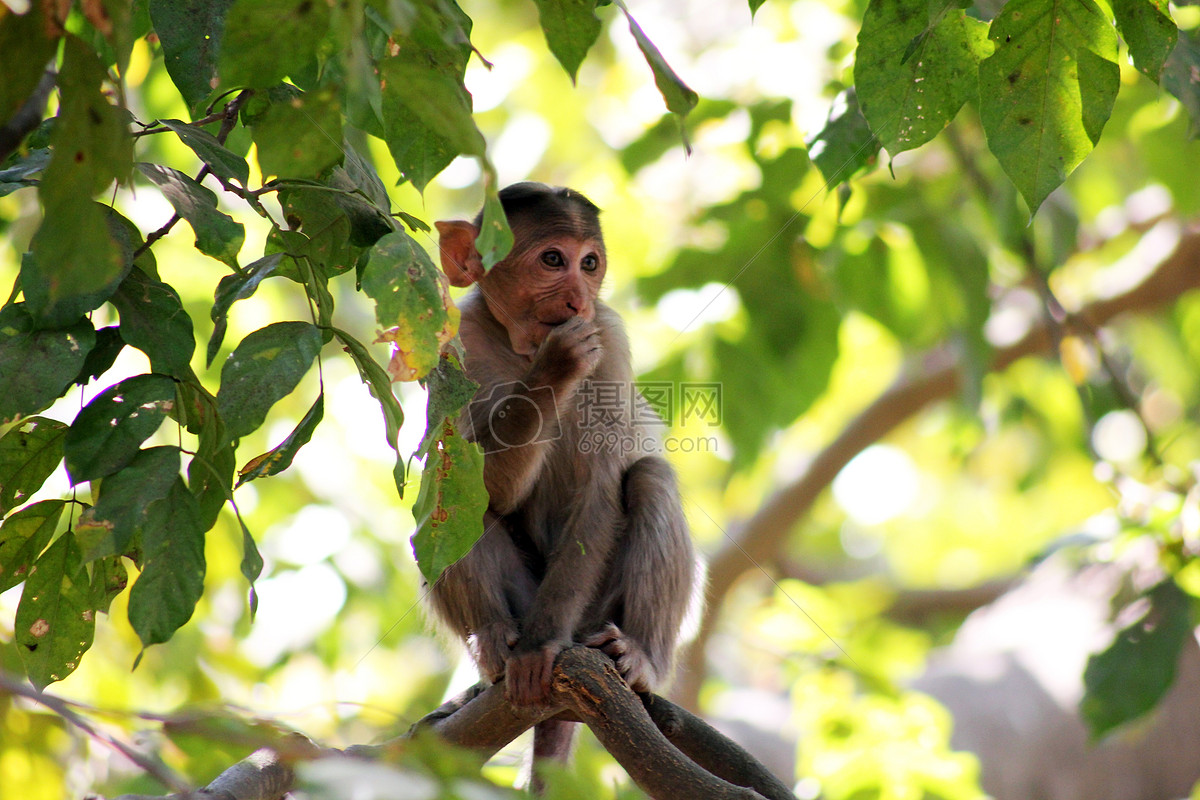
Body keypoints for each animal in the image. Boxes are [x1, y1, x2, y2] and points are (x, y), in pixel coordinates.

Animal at [429, 181, 696, 767]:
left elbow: (601, 488)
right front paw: (555, 370)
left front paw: (541, 649)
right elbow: (472, 484)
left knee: (649, 479)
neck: (517, 347)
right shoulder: (448, 344)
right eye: (553, 260)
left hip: (594, 613)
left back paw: (640, 657)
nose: (579, 299)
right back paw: (492, 640)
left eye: (589, 264)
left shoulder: (609, 340)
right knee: (444, 511)